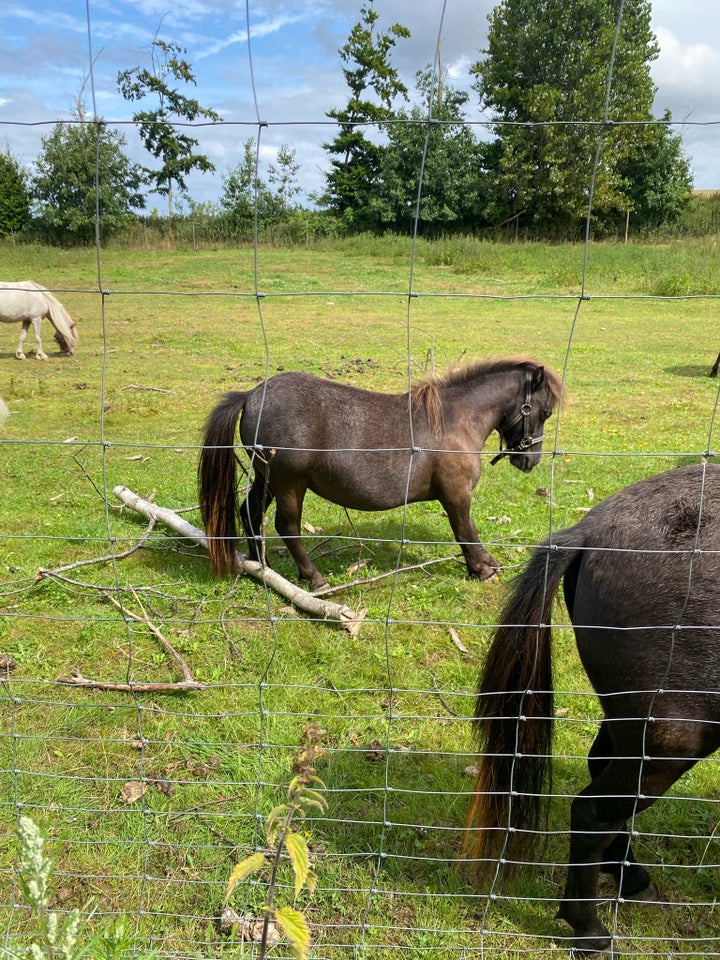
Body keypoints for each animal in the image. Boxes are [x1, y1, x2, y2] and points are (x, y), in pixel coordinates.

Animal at [198, 356, 564, 588]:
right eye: (545, 411)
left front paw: (487, 563)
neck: (456, 418)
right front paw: (482, 568)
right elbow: (466, 531)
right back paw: (313, 578)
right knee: (286, 526)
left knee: (250, 510)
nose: (531, 460)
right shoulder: (456, 494)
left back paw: (261, 564)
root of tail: (252, 395)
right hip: (289, 484)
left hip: (268, 479)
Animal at [466, 464, 720, 952]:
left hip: (633, 726)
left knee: (600, 771)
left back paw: (629, 877)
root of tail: (593, 530)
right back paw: (588, 925)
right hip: (672, 739)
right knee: (592, 813)